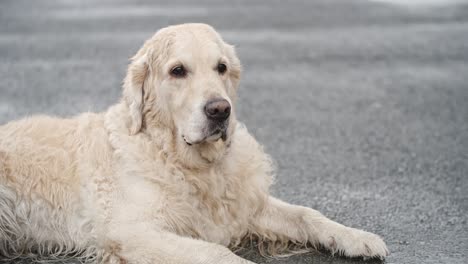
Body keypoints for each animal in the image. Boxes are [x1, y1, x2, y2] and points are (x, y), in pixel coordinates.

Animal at [0, 23, 388, 262]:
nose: (220, 110)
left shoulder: (247, 206)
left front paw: (356, 237)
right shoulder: (132, 231)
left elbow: (308, 214)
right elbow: (218, 254)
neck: (183, 160)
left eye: (221, 67)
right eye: (177, 71)